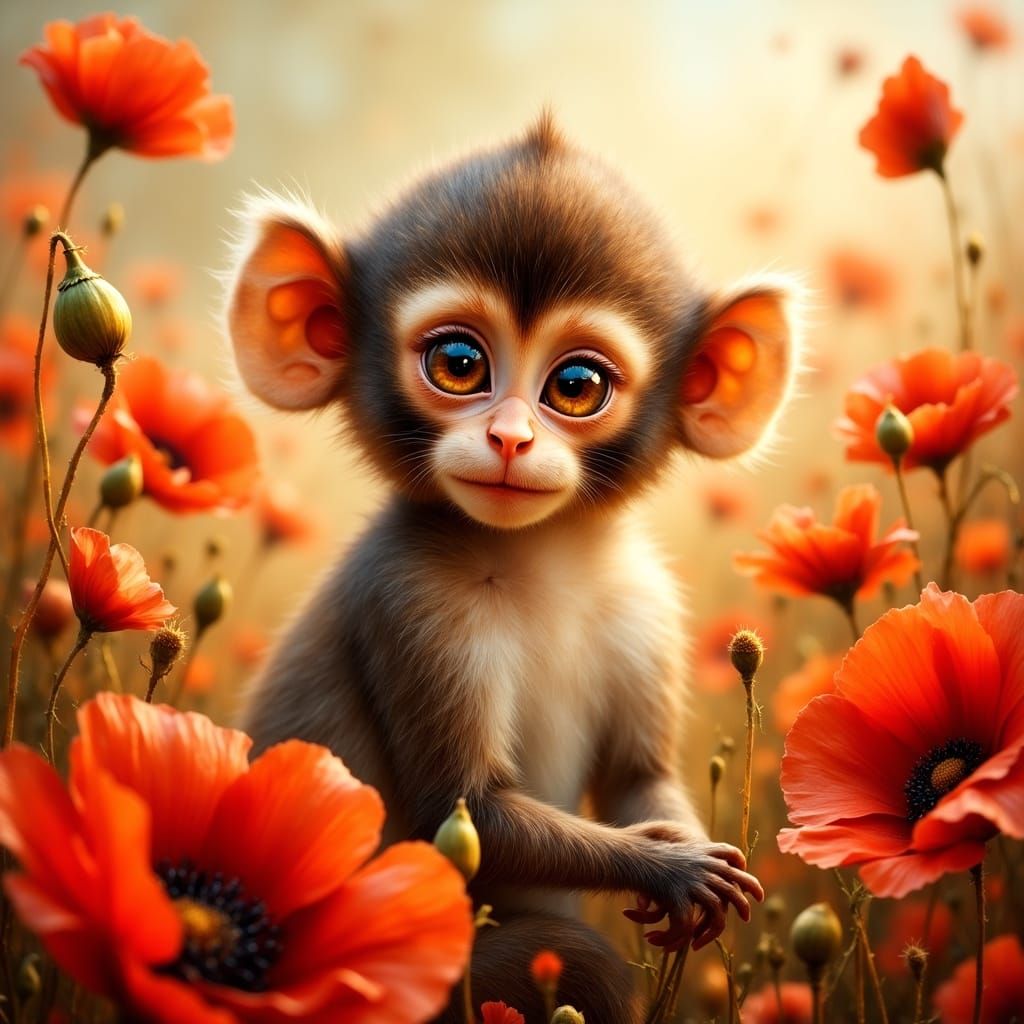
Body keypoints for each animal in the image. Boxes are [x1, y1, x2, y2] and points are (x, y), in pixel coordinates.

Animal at [225, 113, 797, 1022]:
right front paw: (670, 868)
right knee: (578, 963)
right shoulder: (412, 598)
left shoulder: (643, 604)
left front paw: (686, 856)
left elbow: (638, 777)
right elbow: (467, 813)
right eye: (459, 364)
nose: (509, 439)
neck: (537, 559)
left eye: (576, 384)